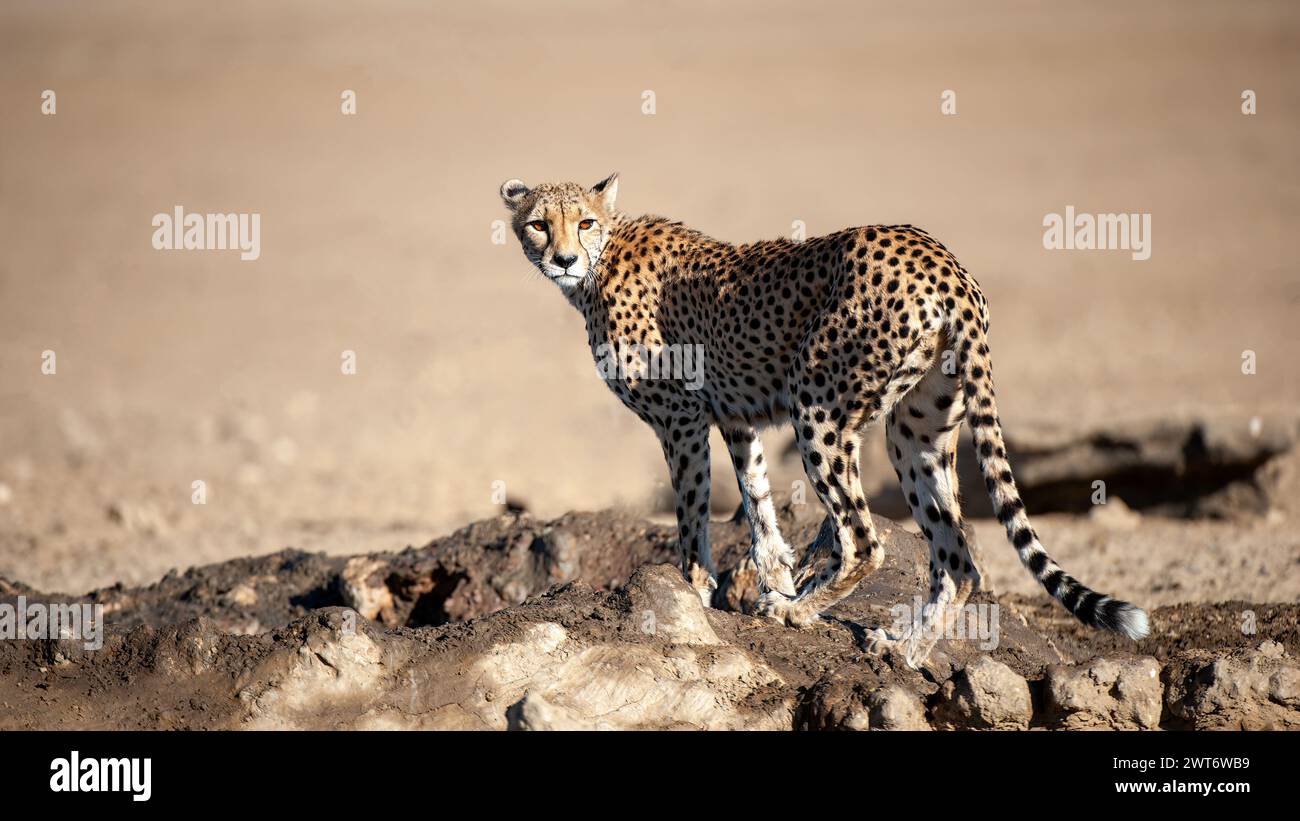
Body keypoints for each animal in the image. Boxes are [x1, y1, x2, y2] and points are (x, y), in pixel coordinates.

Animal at [499, 173, 1149, 666]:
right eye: (539, 223)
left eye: (584, 222)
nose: (562, 258)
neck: (599, 264)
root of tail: (943, 260)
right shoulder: (734, 417)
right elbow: (758, 502)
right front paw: (773, 575)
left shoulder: (681, 419)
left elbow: (691, 515)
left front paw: (699, 591)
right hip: (915, 431)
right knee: (958, 560)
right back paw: (904, 649)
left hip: (817, 403)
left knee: (863, 539)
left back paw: (802, 611)